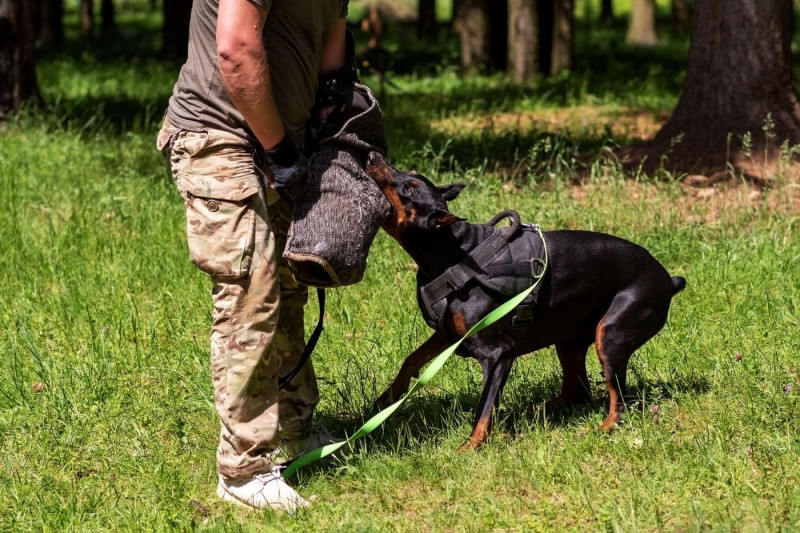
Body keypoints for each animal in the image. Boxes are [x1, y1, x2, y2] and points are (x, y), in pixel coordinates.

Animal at [366, 152, 684, 450]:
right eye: (408, 174)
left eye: (409, 187)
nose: (372, 155)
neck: (453, 256)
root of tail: (668, 281)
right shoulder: (449, 334)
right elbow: (412, 358)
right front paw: (388, 397)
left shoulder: (497, 355)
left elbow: (484, 408)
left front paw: (470, 447)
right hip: (570, 339)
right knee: (578, 392)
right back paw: (537, 412)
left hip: (612, 333)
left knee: (619, 399)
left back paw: (601, 427)